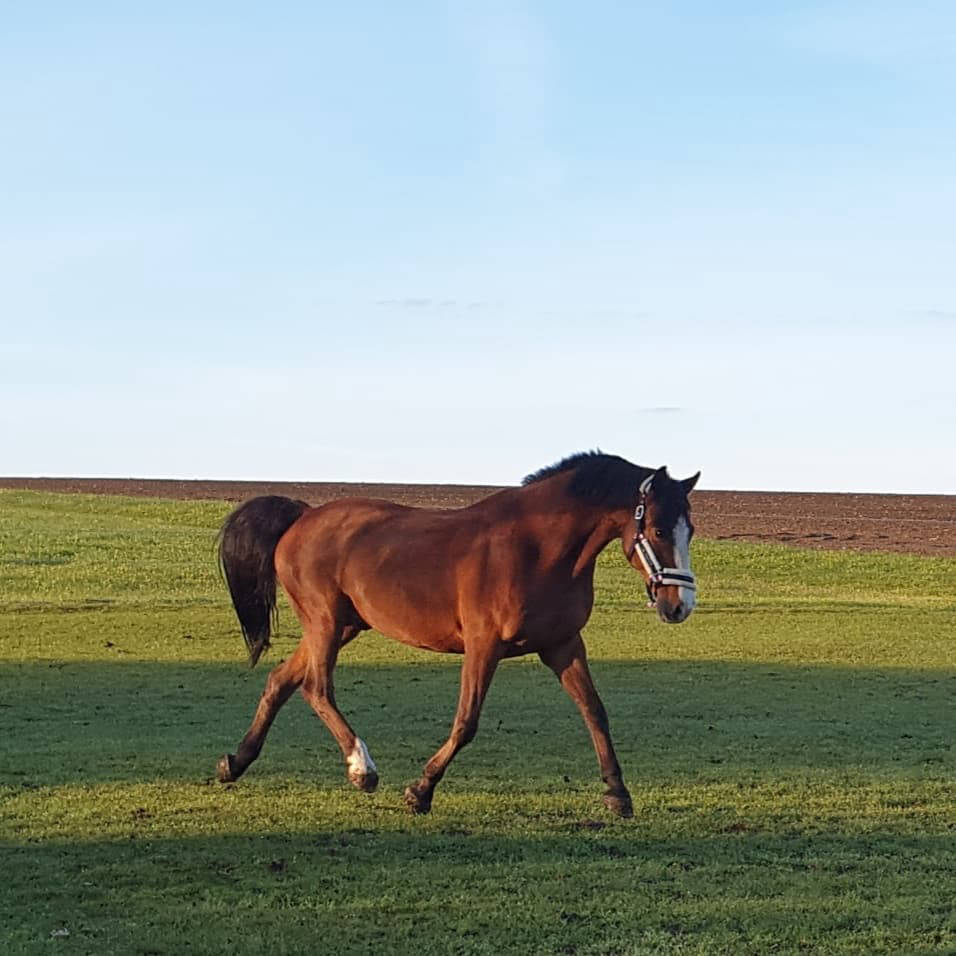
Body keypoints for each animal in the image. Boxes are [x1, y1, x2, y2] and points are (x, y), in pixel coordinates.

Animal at [215, 448, 696, 816]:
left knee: (281, 680)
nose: (680, 605)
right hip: (326, 623)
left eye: (689, 529)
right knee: (316, 687)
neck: (537, 550)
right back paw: (361, 768)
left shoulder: (563, 645)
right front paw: (420, 790)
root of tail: (304, 515)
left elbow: (595, 711)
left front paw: (618, 794)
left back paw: (235, 762)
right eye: (657, 528)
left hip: (343, 625)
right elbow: (466, 722)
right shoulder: (484, 647)